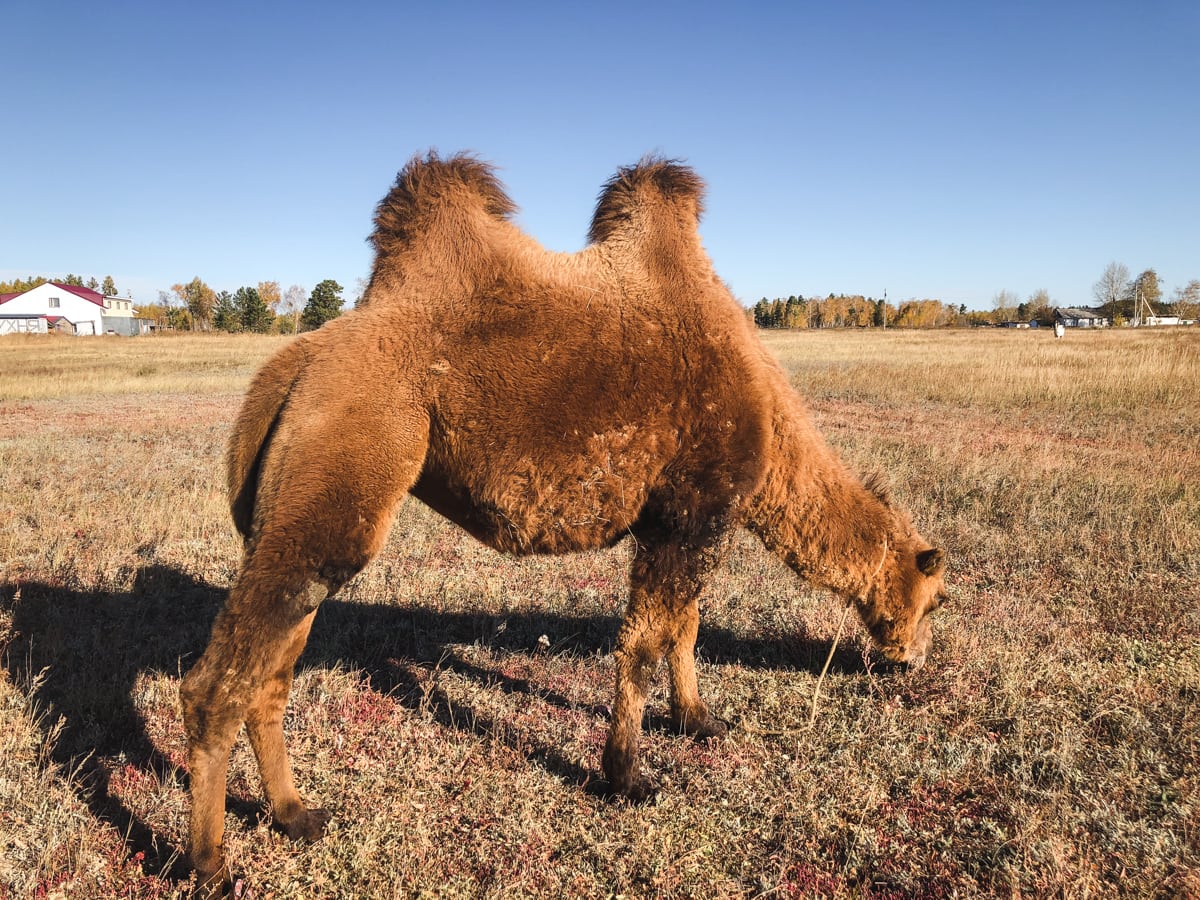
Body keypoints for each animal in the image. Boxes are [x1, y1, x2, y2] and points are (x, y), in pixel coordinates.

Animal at [180, 154, 945, 897]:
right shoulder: (686, 516)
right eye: (936, 600)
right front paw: (628, 776)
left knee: (271, 673)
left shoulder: (685, 524)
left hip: (308, 512)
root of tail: (297, 359)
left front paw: (697, 720)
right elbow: (644, 645)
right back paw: (210, 864)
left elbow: (684, 630)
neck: (768, 413)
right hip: (345, 460)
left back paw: (296, 815)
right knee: (214, 683)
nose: (910, 659)